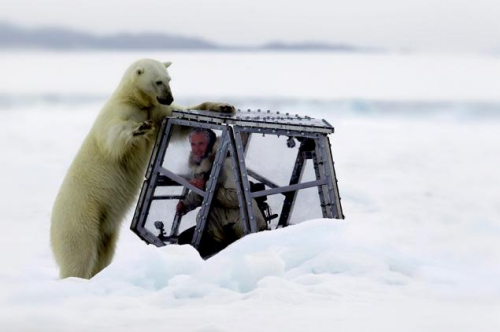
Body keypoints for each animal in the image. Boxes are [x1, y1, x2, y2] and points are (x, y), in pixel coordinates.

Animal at [49, 58, 233, 278]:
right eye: (158, 82)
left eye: (169, 79)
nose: (169, 98)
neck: (136, 100)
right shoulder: (120, 112)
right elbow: (114, 138)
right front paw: (140, 128)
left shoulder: (157, 111)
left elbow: (181, 124)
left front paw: (222, 106)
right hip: (81, 214)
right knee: (79, 253)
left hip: (106, 228)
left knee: (104, 251)